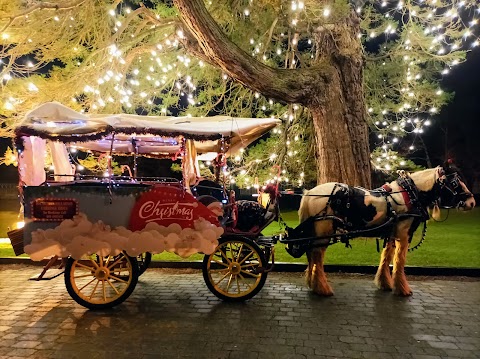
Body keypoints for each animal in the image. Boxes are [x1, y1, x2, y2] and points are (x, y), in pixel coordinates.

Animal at [300, 165, 476, 296]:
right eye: (455, 183)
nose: (472, 202)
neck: (410, 193)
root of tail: (310, 193)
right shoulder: (404, 235)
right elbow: (399, 260)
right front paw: (402, 289)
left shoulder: (391, 233)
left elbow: (387, 257)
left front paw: (385, 283)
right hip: (324, 232)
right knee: (317, 257)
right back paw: (322, 288)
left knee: (312, 255)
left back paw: (313, 283)